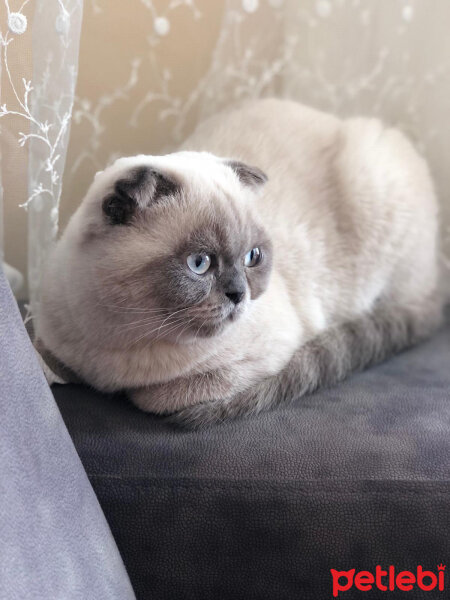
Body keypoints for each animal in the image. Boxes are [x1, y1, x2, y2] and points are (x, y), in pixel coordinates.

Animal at [35, 99, 442, 426]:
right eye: (199, 263)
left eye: (252, 257)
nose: (238, 295)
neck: (119, 338)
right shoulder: (54, 342)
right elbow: (48, 362)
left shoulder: (260, 357)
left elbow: (154, 397)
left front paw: (132, 394)